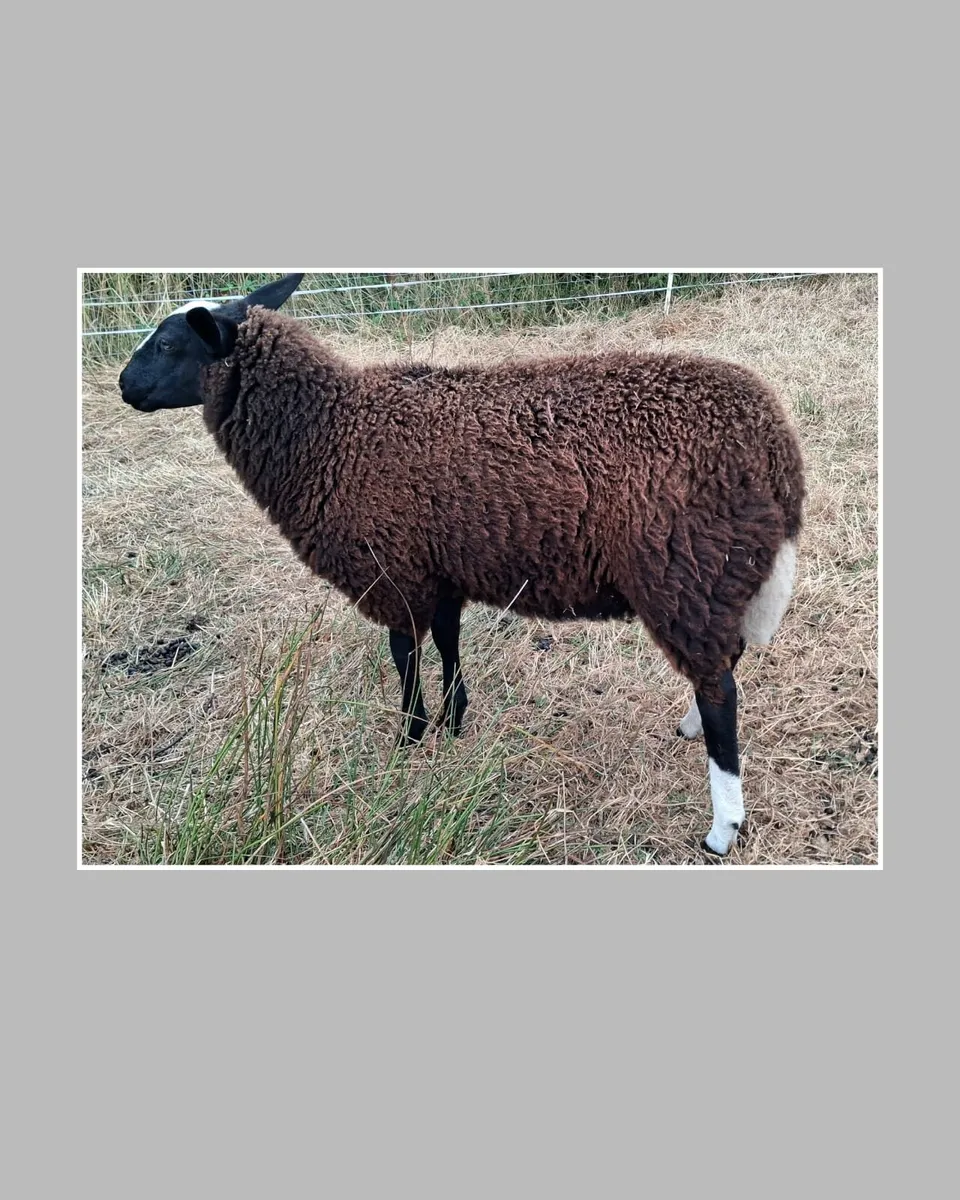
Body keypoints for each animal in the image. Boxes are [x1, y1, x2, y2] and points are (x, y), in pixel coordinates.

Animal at [118, 272, 805, 857]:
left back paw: (723, 828)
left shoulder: (392, 570)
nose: (124, 387)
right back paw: (690, 729)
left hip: (682, 570)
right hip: (716, 576)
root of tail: (777, 448)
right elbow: (448, 642)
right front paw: (453, 719)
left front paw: (411, 735)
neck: (331, 435)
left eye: (170, 342)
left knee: (720, 692)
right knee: (723, 664)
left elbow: (405, 653)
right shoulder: (438, 568)